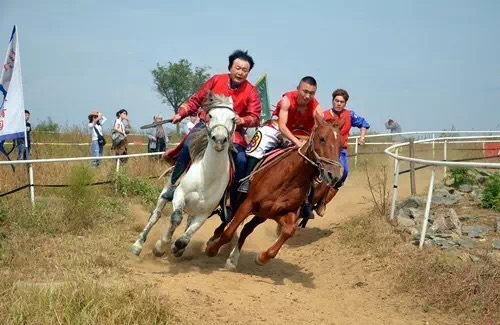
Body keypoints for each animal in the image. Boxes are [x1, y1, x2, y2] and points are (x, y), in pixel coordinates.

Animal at [131, 92, 236, 256]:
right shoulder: (179, 195)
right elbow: (176, 218)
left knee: (187, 222)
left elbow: (185, 238)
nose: (219, 140)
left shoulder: (204, 213)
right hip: (168, 189)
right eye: (211, 115)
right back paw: (138, 244)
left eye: (233, 118)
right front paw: (161, 246)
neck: (207, 176)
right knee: (156, 215)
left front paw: (176, 247)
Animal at [204, 119, 344, 268]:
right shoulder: (248, 204)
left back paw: (232, 258)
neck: (289, 178)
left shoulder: (280, 212)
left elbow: (289, 230)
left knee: (245, 228)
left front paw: (263, 257)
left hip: (261, 214)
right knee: (228, 221)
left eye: (341, 145)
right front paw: (211, 249)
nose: (334, 175)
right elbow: (228, 233)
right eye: (322, 139)